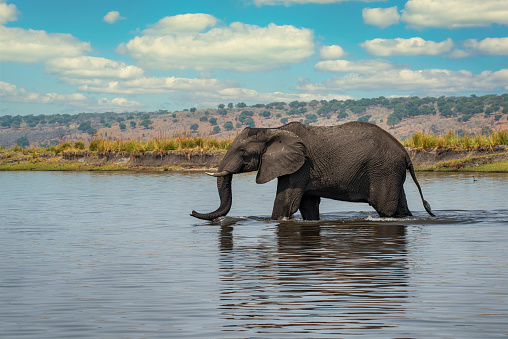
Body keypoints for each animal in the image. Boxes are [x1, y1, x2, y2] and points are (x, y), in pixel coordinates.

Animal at [190, 121, 432, 220]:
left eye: (242, 151)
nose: (192, 212)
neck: (273, 130)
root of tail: (405, 152)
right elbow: (308, 206)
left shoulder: (300, 166)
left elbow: (285, 203)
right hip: (391, 172)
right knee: (401, 207)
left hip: (383, 170)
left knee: (386, 209)